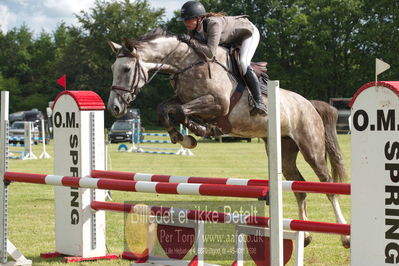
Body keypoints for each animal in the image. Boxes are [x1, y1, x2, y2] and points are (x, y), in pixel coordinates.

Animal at [107, 27, 350, 247]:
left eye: (126, 69)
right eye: (113, 68)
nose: (114, 108)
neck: (186, 63)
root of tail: (309, 103)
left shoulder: (217, 104)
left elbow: (180, 111)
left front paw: (197, 132)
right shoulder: (183, 100)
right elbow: (165, 109)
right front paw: (186, 136)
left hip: (312, 148)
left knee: (327, 185)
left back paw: (345, 237)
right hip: (284, 151)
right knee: (299, 187)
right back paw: (305, 235)